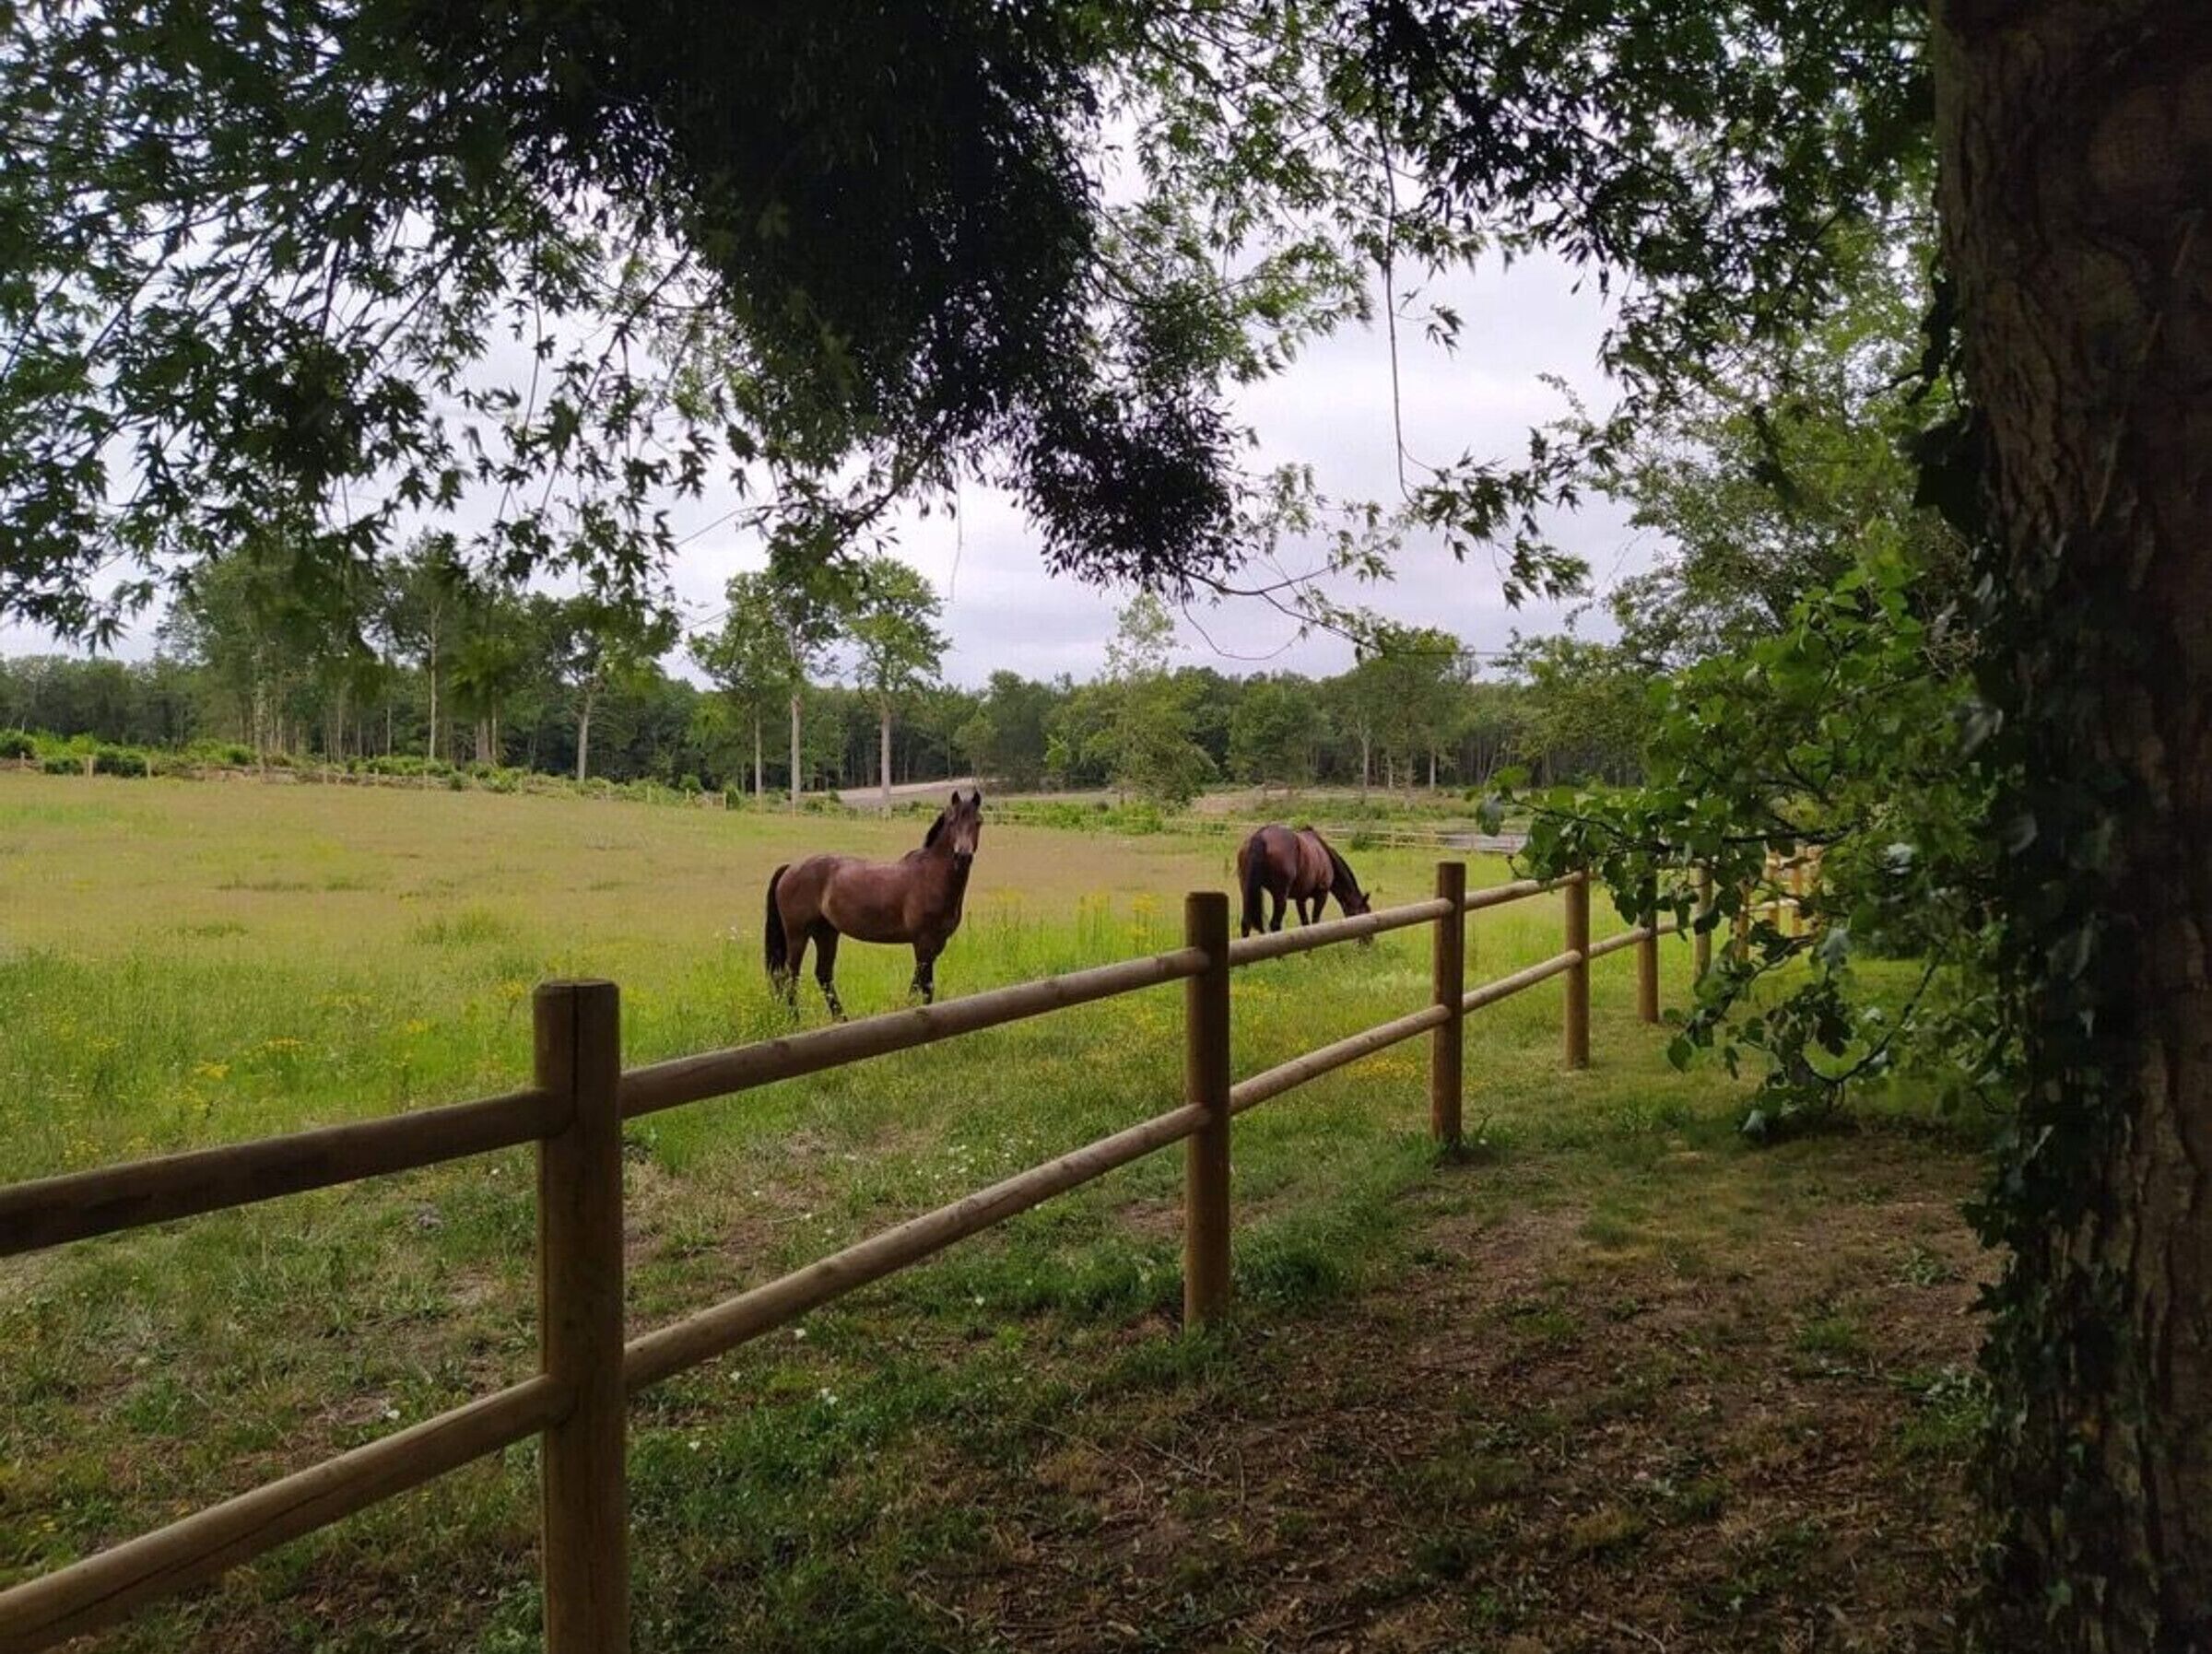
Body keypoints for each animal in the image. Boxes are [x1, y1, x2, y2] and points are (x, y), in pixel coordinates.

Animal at [764, 787, 983, 1018]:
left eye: (978, 822)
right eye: (952, 821)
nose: (963, 856)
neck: (931, 875)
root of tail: (790, 868)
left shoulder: (937, 944)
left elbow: (917, 985)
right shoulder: (923, 943)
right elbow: (925, 987)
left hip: (826, 932)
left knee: (823, 974)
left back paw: (841, 1019)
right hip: (797, 934)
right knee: (790, 975)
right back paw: (795, 1018)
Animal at [1235, 823, 1374, 938]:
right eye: (1364, 913)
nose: (1369, 943)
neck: (1324, 853)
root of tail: (1259, 837)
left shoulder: (1300, 899)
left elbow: (1305, 924)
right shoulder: (1321, 895)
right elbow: (1315, 922)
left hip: (1246, 890)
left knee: (1246, 923)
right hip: (1280, 896)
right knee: (1275, 925)